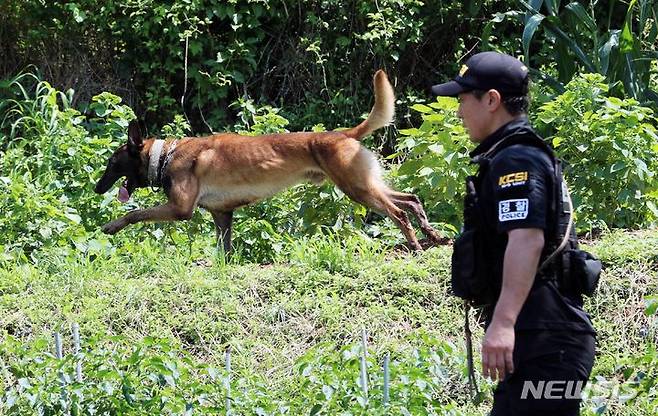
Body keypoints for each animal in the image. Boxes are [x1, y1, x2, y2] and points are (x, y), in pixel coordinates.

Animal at [95, 70, 438, 252]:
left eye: (112, 163)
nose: (98, 188)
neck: (165, 156)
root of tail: (342, 134)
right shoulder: (222, 215)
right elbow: (224, 250)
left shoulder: (180, 209)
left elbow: (136, 213)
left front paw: (111, 225)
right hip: (366, 183)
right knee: (410, 199)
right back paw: (431, 233)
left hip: (357, 188)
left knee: (398, 212)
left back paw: (415, 244)